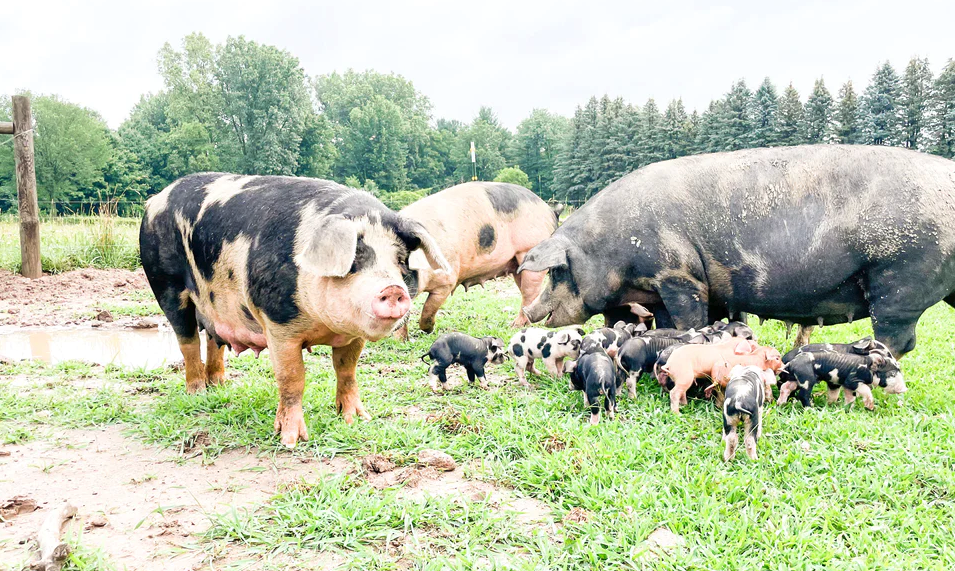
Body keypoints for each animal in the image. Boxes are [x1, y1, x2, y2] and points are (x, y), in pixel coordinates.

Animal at [139, 172, 452, 450]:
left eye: (400, 260)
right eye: (354, 260)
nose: (394, 289)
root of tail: (155, 199)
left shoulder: (353, 336)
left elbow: (347, 370)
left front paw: (357, 419)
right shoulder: (278, 324)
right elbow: (292, 378)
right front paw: (291, 441)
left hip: (214, 307)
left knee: (214, 339)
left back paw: (220, 386)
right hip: (166, 285)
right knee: (187, 340)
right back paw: (197, 393)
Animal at [396, 181, 560, 340]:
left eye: (401, 265)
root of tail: (549, 210)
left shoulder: (447, 281)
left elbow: (429, 309)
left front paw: (428, 330)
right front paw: (400, 339)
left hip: (529, 250)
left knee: (529, 292)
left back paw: (514, 326)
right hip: (516, 264)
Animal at [520, 146, 955, 362]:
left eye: (556, 272)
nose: (528, 311)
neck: (610, 247)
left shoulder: (679, 275)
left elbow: (687, 318)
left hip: (900, 276)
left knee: (897, 338)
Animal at [656, 340, 784, 416]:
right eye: (777, 358)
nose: (783, 366)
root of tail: (669, 364)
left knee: (681, 392)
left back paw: (685, 405)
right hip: (684, 376)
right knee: (674, 393)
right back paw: (677, 413)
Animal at [776, 346, 904, 408]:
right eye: (892, 373)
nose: (904, 389)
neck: (868, 369)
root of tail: (792, 362)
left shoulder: (838, 383)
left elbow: (846, 397)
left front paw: (837, 407)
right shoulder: (852, 380)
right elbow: (865, 390)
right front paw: (870, 407)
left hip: (796, 378)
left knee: (785, 387)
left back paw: (780, 404)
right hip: (806, 378)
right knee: (802, 395)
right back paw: (811, 409)